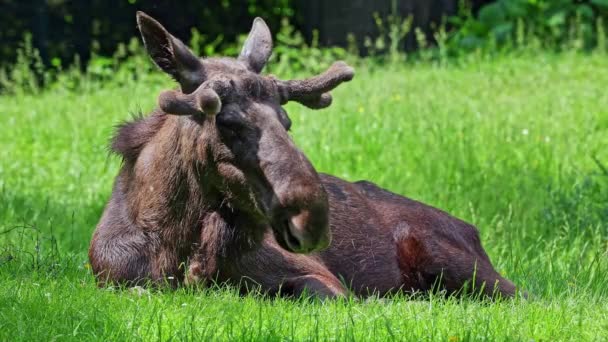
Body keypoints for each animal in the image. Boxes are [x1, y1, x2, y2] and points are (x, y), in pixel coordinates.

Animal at [88, 12, 520, 298]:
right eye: (225, 122)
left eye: (286, 121)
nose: (310, 218)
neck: (174, 241)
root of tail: (474, 231)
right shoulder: (114, 281)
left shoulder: (323, 281)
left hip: (471, 272)